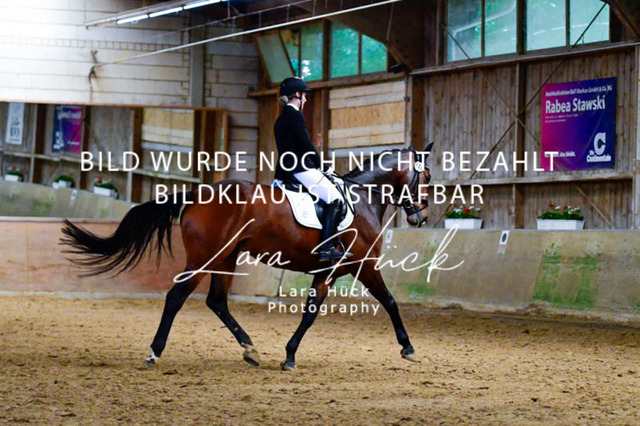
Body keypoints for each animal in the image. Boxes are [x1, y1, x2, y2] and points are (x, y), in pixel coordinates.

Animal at [61, 144, 432, 371]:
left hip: (226, 258)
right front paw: (408, 348)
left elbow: (310, 313)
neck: (362, 199)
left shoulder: (327, 272)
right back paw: (155, 351)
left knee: (216, 301)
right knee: (176, 296)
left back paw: (249, 349)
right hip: (206, 258)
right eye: (427, 177)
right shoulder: (364, 265)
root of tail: (198, 193)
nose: (422, 216)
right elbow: (390, 301)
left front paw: (289, 356)